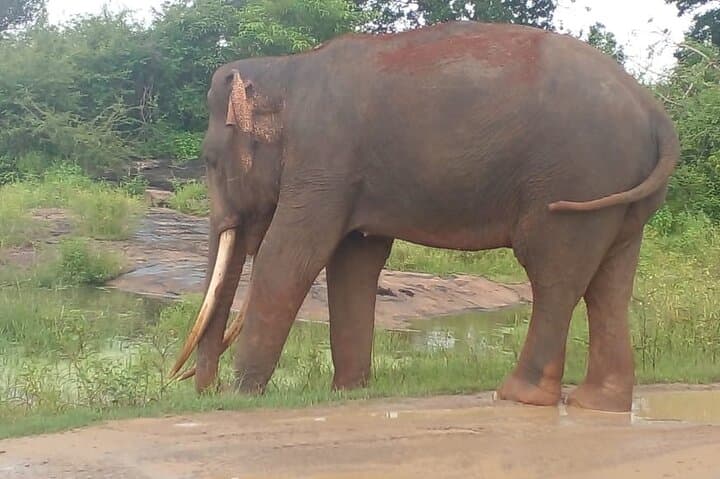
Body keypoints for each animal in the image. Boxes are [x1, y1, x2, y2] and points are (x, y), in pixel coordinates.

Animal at [170, 20, 679, 413]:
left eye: (210, 161)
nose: (206, 390)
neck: (285, 67)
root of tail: (656, 113)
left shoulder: (324, 157)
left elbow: (292, 253)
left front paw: (243, 396)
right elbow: (355, 259)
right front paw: (349, 391)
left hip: (573, 180)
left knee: (554, 272)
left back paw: (519, 395)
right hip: (616, 191)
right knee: (610, 282)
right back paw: (600, 403)